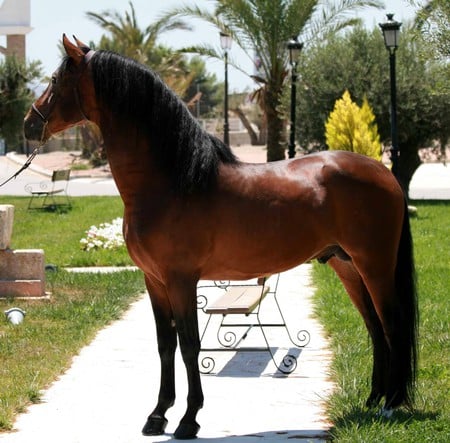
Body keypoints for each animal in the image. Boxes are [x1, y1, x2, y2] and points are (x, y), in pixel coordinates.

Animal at [24, 36, 418, 438]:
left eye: (55, 80)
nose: (28, 124)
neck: (171, 183)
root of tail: (385, 174)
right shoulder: (154, 281)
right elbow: (165, 345)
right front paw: (157, 415)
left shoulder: (181, 280)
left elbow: (189, 346)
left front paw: (188, 419)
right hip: (347, 266)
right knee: (375, 328)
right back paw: (372, 400)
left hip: (375, 266)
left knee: (393, 325)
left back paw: (389, 405)